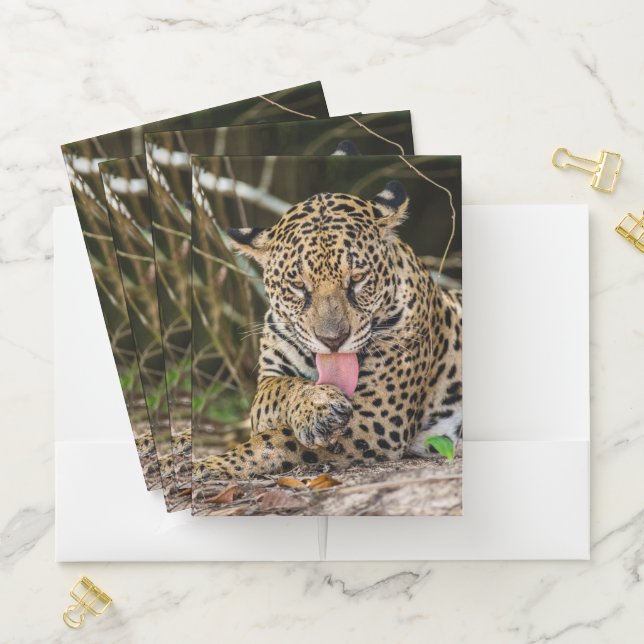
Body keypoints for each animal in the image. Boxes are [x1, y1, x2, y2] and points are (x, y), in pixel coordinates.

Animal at [194, 179, 462, 481]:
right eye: (298, 285)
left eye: (357, 278)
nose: (333, 340)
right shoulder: (270, 375)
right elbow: (272, 394)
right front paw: (318, 405)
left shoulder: (376, 418)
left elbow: (275, 441)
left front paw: (209, 464)